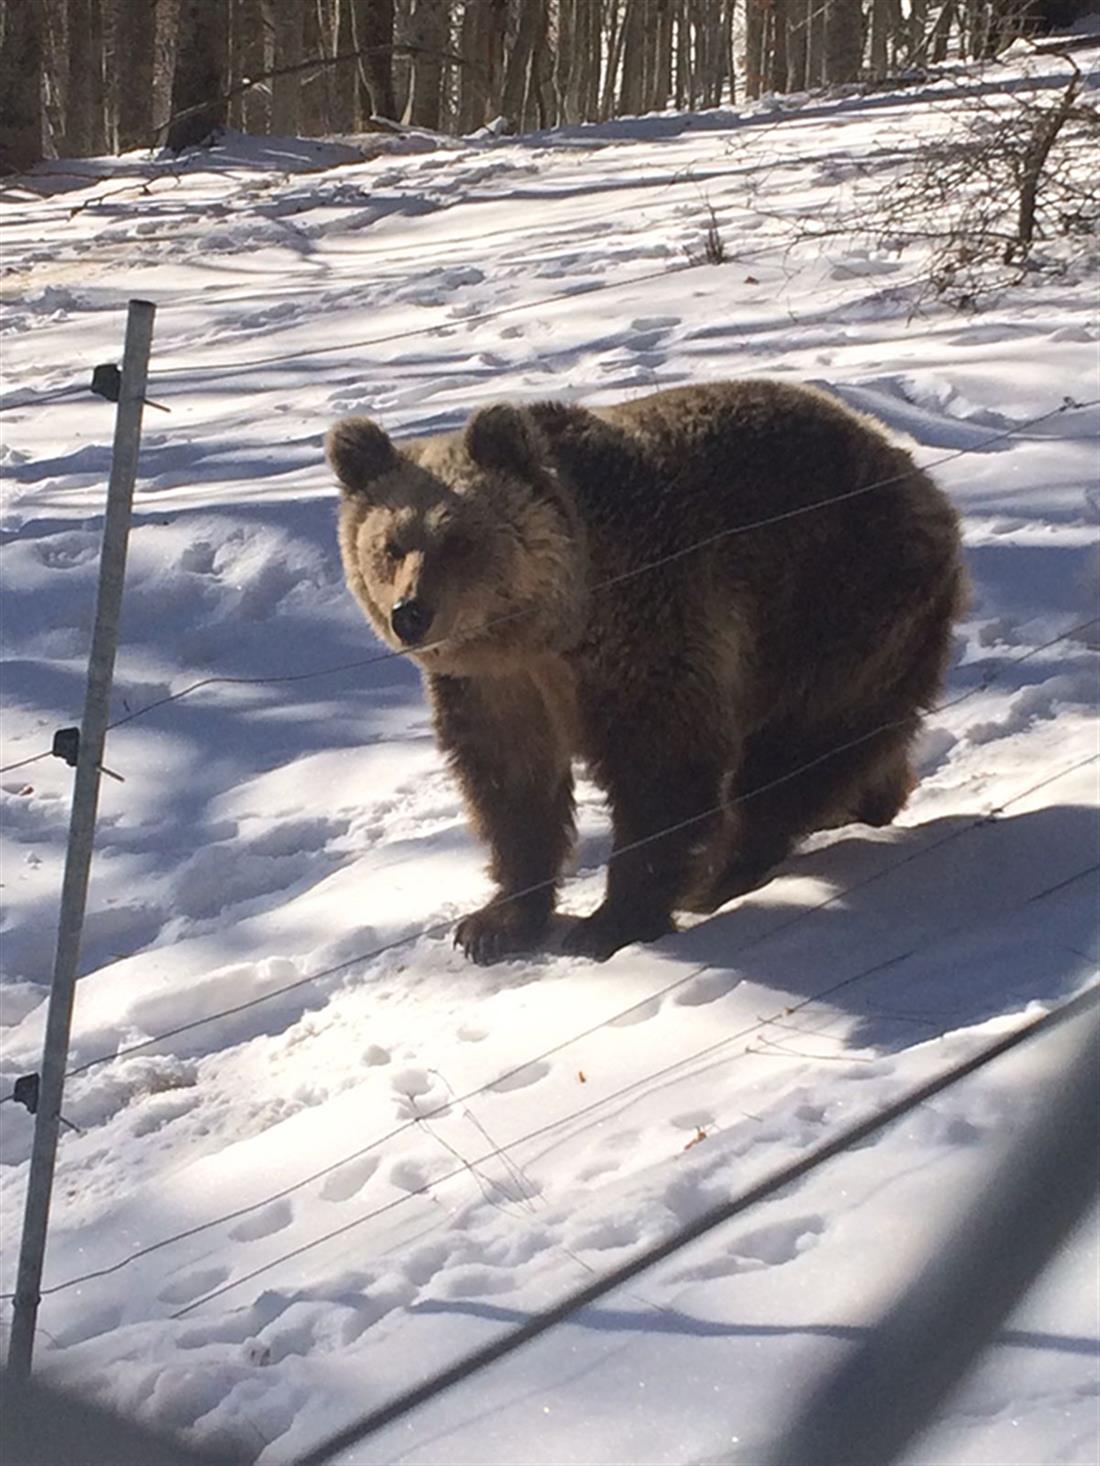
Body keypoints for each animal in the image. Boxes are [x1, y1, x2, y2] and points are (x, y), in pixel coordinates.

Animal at [327, 381, 962, 961]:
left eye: (458, 538)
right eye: (389, 545)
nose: (411, 613)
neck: (546, 630)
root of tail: (913, 471)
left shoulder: (645, 624)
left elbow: (660, 765)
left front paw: (611, 921)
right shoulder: (496, 684)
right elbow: (510, 782)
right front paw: (496, 922)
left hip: (834, 600)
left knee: (801, 747)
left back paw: (723, 873)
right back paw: (870, 800)